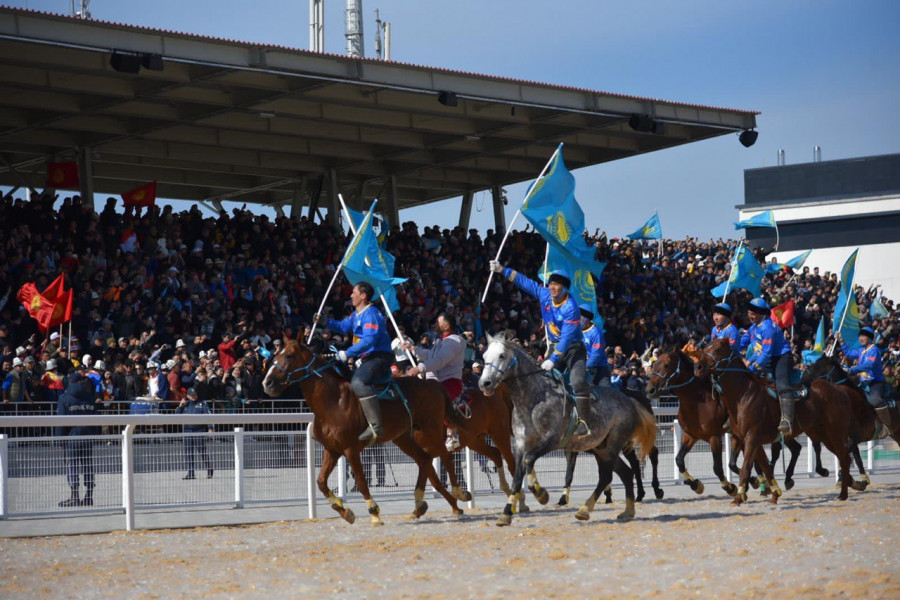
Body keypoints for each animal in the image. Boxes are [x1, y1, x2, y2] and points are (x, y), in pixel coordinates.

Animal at [260, 338, 472, 524]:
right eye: (274, 355)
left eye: (289, 356)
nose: (267, 383)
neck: (334, 401)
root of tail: (433, 383)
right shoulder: (332, 449)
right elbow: (320, 482)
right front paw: (343, 510)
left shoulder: (350, 449)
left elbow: (362, 481)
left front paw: (374, 512)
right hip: (403, 437)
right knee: (424, 460)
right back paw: (423, 504)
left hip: (430, 430)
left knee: (444, 455)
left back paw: (459, 493)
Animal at [478, 328, 652, 524]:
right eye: (484, 356)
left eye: (501, 355)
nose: (484, 383)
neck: (534, 399)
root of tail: (629, 400)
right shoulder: (522, 444)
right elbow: (517, 477)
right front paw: (507, 513)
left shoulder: (552, 440)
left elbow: (530, 460)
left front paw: (540, 493)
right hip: (602, 448)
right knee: (626, 473)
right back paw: (628, 512)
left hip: (614, 445)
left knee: (607, 475)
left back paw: (585, 509)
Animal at [692, 340, 860, 504]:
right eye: (705, 347)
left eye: (717, 349)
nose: (698, 367)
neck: (744, 395)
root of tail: (841, 391)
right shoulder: (745, 438)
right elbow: (762, 467)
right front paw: (773, 493)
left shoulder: (752, 438)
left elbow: (747, 467)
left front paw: (739, 496)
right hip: (823, 435)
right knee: (841, 457)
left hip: (835, 433)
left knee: (844, 458)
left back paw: (843, 493)